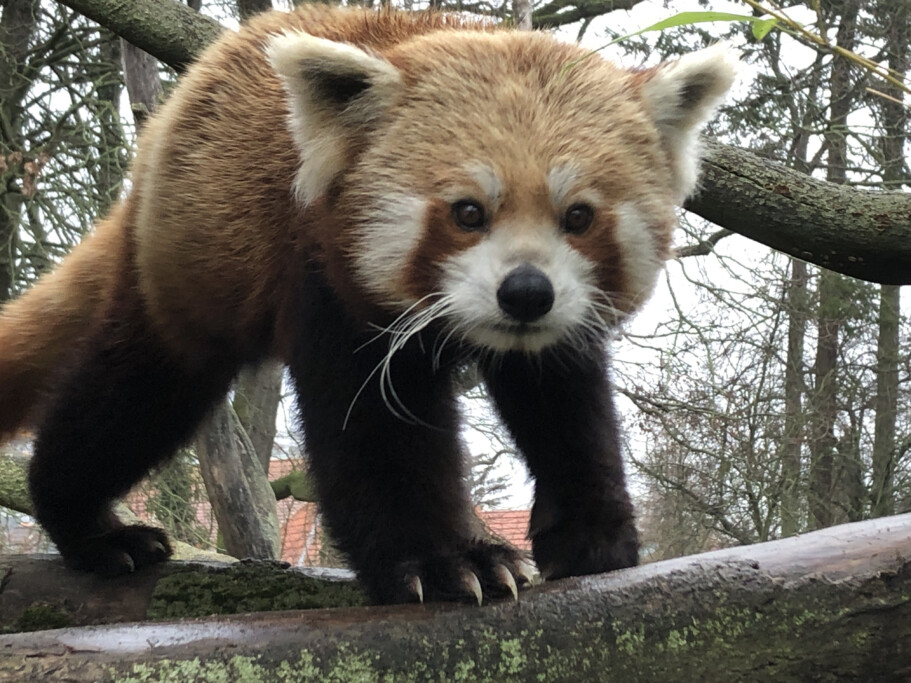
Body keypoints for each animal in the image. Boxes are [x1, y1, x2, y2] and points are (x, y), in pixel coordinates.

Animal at [0, 5, 736, 604]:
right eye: (467, 212)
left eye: (578, 215)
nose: (526, 291)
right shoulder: (326, 280)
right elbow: (376, 437)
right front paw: (446, 563)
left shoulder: (558, 331)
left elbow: (567, 409)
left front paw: (593, 538)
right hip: (186, 272)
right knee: (132, 399)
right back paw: (91, 528)